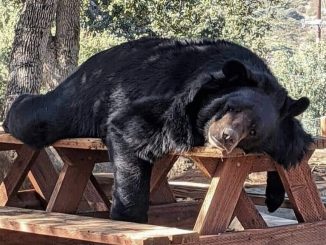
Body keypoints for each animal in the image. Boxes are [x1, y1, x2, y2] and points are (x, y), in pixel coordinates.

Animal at [4, 37, 310, 222]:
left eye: (253, 131)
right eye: (230, 106)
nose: (225, 137)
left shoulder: (284, 123)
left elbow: (293, 147)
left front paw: (274, 196)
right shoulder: (174, 102)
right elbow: (131, 129)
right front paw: (128, 217)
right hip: (83, 97)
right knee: (39, 117)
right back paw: (12, 110)